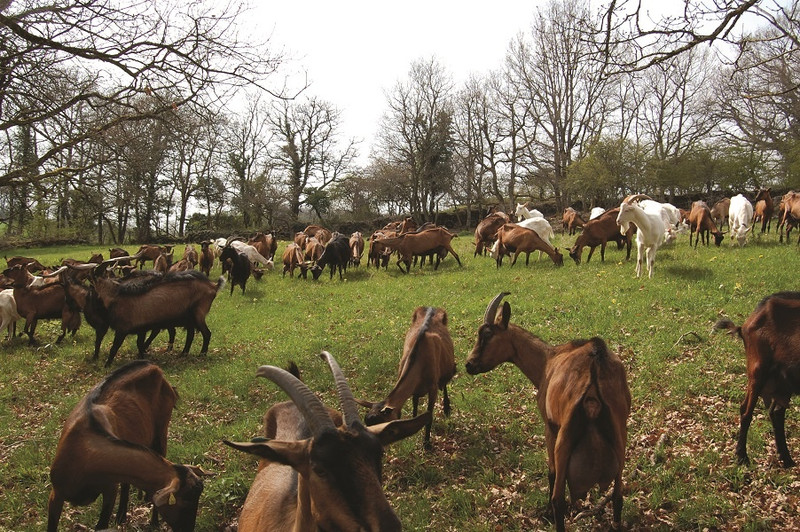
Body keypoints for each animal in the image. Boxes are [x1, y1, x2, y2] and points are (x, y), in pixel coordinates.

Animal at [48, 360, 205, 532]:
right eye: (186, 499)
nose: (188, 529)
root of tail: (154, 367)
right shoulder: (56, 493)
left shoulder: (110, 489)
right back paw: (123, 515)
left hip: (161, 431)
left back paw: (152, 521)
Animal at [358, 307, 455, 450]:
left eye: (384, 427)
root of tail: (432, 307)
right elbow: (414, 403)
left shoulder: (432, 387)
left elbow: (429, 415)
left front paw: (427, 444)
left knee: (445, 382)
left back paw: (447, 408)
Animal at [465, 293, 630, 532]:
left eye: (487, 335)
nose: (469, 364)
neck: (547, 359)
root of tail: (594, 370)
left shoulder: (549, 426)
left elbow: (550, 471)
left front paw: (545, 513)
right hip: (620, 435)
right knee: (618, 497)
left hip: (564, 437)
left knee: (559, 498)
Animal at [715, 292, 800, 467]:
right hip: (758, 370)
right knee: (746, 410)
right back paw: (742, 456)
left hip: (783, 381)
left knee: (776, 412)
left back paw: (786, 458)